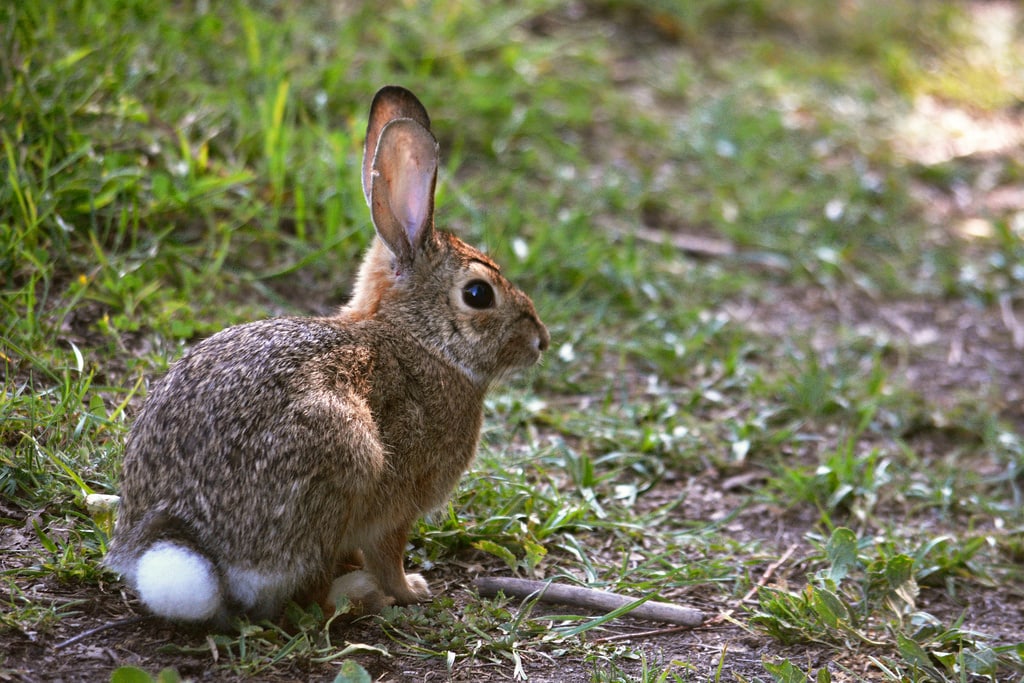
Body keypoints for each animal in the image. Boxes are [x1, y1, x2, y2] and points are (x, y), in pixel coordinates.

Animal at [101, 85, 552, 626]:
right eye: (479, 295)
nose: (541, 341)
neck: (420, 339)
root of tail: (187, 540)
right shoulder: (398, 505)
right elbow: (389, 554)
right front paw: (412, 589)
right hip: (347, 458)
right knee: (309, 598)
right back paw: (360, 595)